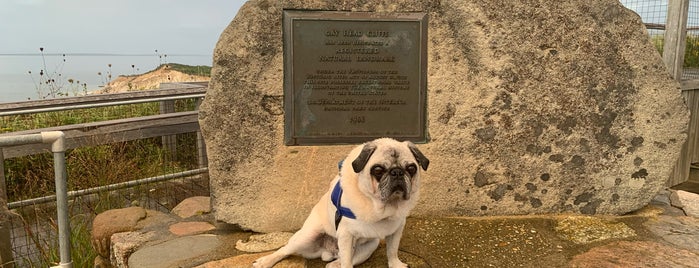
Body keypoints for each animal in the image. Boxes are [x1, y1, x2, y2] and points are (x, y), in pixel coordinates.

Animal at [252, 138, 426, 268]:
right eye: (378, 170)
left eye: (411, 168)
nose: (397, 172)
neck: (382, 207)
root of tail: (329, 251)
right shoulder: (346, 235)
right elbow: (348, 262)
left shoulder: (397, 230)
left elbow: (392, 251)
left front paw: (395, 264)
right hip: (307, 236)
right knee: (284, 250)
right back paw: (265, 261)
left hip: (370, 246)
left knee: (342, 260)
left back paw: (335, 263)